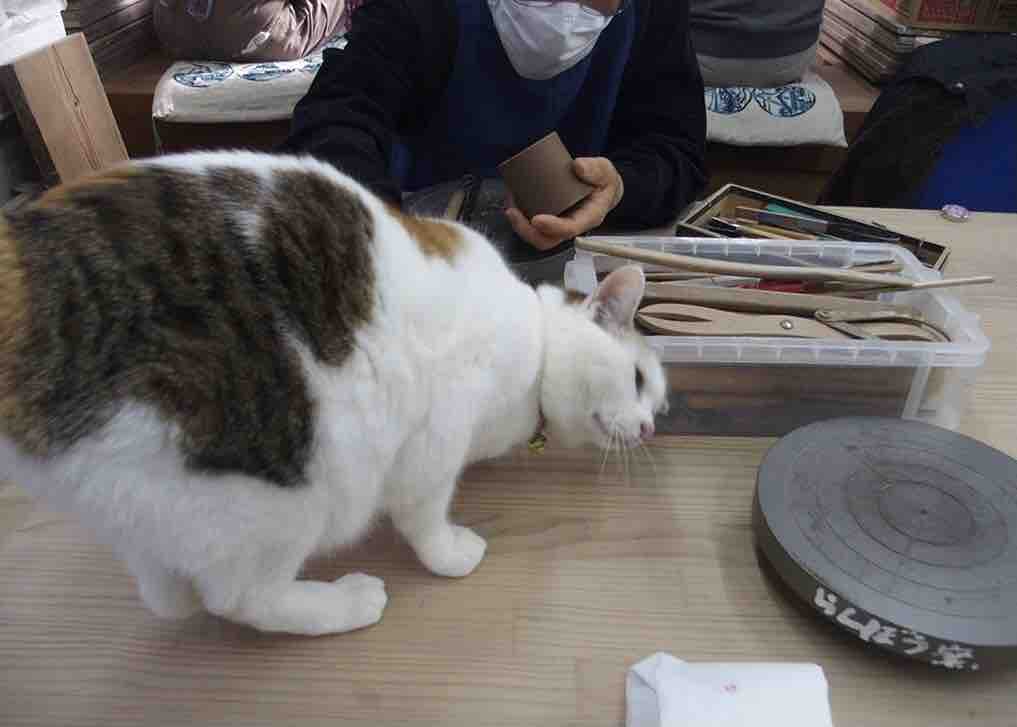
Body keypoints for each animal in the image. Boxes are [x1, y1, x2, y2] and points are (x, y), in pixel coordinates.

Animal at [0, 151, 667, 636]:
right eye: (637, 381)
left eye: (656, 404)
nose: (651, 427)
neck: (534, 342)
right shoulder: (435, 444)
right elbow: (424, 518)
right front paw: (452, 553)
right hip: (285, 492)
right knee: (240, 598)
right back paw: (347, 603)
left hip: (150, 503)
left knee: (165, 590)